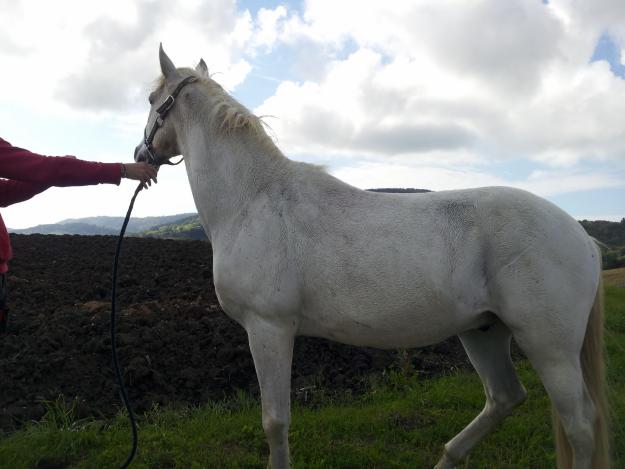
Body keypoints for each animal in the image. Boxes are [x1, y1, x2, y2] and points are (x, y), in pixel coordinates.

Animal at [135, 44, 608, 468]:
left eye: (152, 101)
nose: (141, 155)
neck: (253, 199)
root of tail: (582, 238)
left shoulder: (268, 328)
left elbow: (275, 423)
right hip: (484, 331)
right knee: (505, 398)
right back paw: (448, 457)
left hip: (549, 345)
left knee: (581, 425)